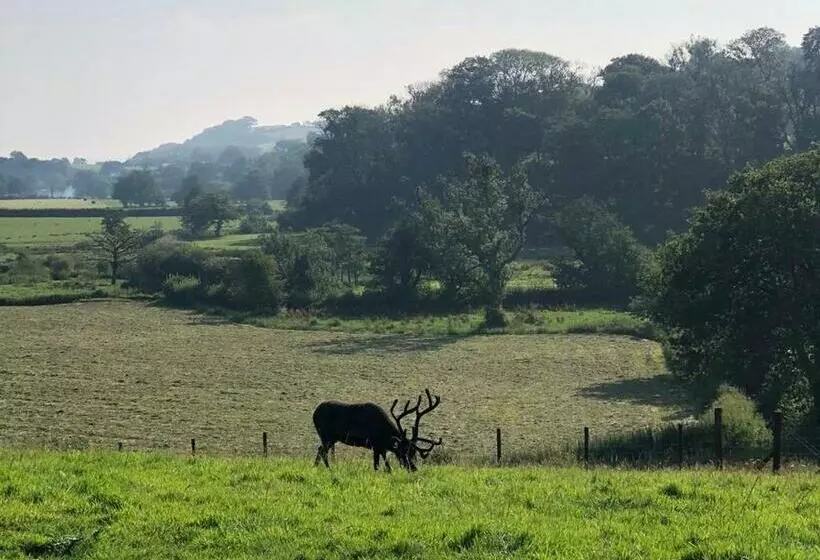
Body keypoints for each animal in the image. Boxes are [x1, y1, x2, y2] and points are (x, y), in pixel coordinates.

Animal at [312, 389, 443, 472]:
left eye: (413, 453)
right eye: (402, 452)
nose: (413, 468)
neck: (385, 435)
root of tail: (314, 414)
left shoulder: (381, 448)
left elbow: (387, 467)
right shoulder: (375, 445)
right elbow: (377, 466)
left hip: (329, 438)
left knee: (320, 450)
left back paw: (316, 467)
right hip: (326, 435)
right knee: (322, 451)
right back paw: (329, 469)